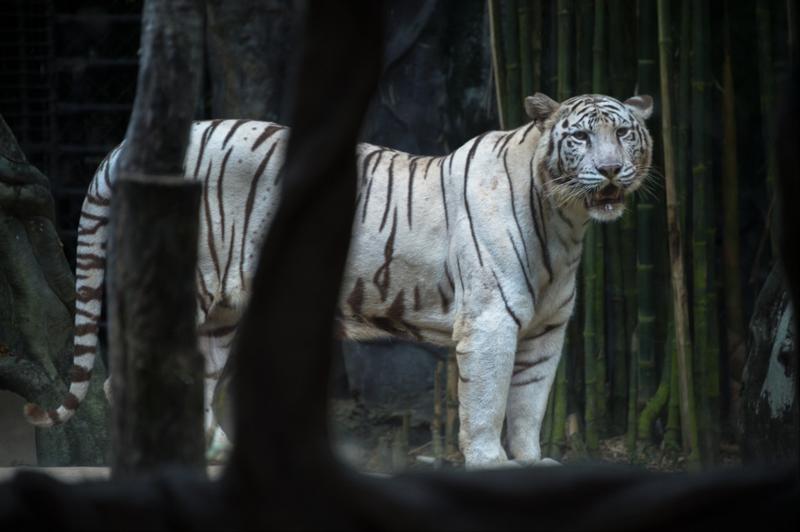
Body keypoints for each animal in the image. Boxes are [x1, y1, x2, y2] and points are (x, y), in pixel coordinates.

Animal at [25, 93, 652, 468]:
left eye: (625, 134)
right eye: (580, 138)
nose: (612, 170)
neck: (566, 221)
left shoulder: (546, 331)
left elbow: (529, 403)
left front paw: (529, 463)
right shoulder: (490, 323)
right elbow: (488, 403)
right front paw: (491, 465)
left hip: (222, 314)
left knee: (194, 382)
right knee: (122, 381)